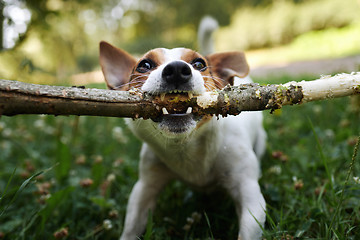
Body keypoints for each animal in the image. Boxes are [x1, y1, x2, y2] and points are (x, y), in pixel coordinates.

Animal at [100, 23, 266, 240]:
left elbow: (248, 229)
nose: (177, 69)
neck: (185, 147)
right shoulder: (144, 187)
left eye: (199, 63)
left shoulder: (249, 193)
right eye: (144, 65)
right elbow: (131, 226)